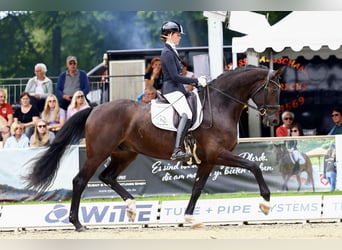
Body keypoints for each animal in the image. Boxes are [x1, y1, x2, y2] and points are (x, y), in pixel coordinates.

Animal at [25, 66, 284, 230]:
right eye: (272, 90)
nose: (273, 121)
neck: (220, 105)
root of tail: (95, 108)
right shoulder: (217, 154)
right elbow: (253, 166)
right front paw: (265, 203)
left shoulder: (208, 160)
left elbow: (197, 189)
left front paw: (190, 219)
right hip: (98, 152)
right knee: (80, 181)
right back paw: (78, 223)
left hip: (125, 153)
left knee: (107, 177)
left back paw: (132, 208)